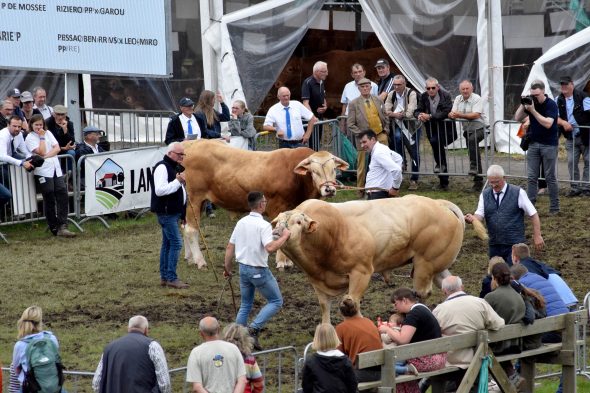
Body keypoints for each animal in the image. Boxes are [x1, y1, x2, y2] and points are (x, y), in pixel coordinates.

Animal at [276, 196, 488, 322]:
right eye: (277, 222)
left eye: (298, 222)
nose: (279, 232)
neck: (332, 231)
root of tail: (440, 203)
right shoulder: (318, 282)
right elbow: (325, 310)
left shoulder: (361, 271)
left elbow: (352, 303)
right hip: (437, 266)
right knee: (449, 284)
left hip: (425, 264)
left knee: (422, 292)